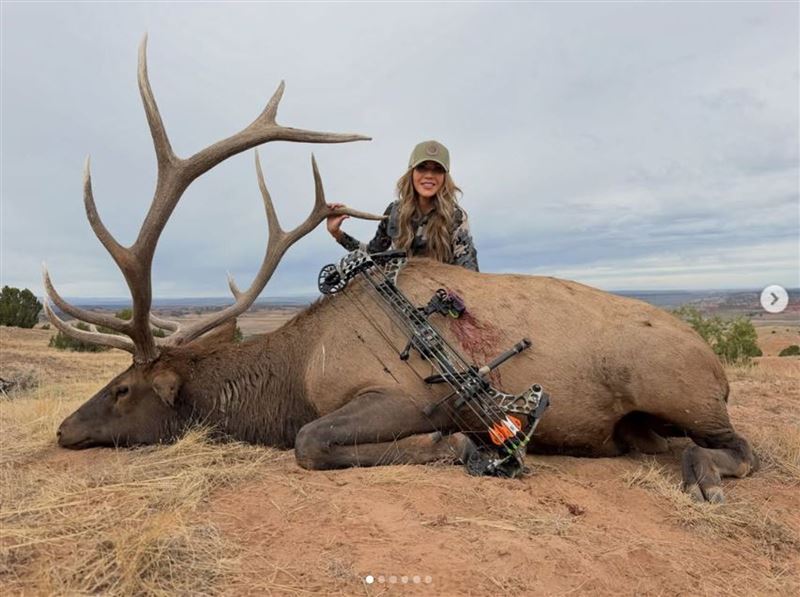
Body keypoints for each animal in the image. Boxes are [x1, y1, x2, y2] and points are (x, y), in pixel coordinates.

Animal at [46, 38, 758, 504]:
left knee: (745, 448)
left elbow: (310, 441)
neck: (292, 376)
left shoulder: (402, 397)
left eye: (122, 389)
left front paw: (454, 448)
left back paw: (701, 475)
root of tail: (717, 366)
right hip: (641, 423)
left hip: (676, 386)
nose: (62, 429)